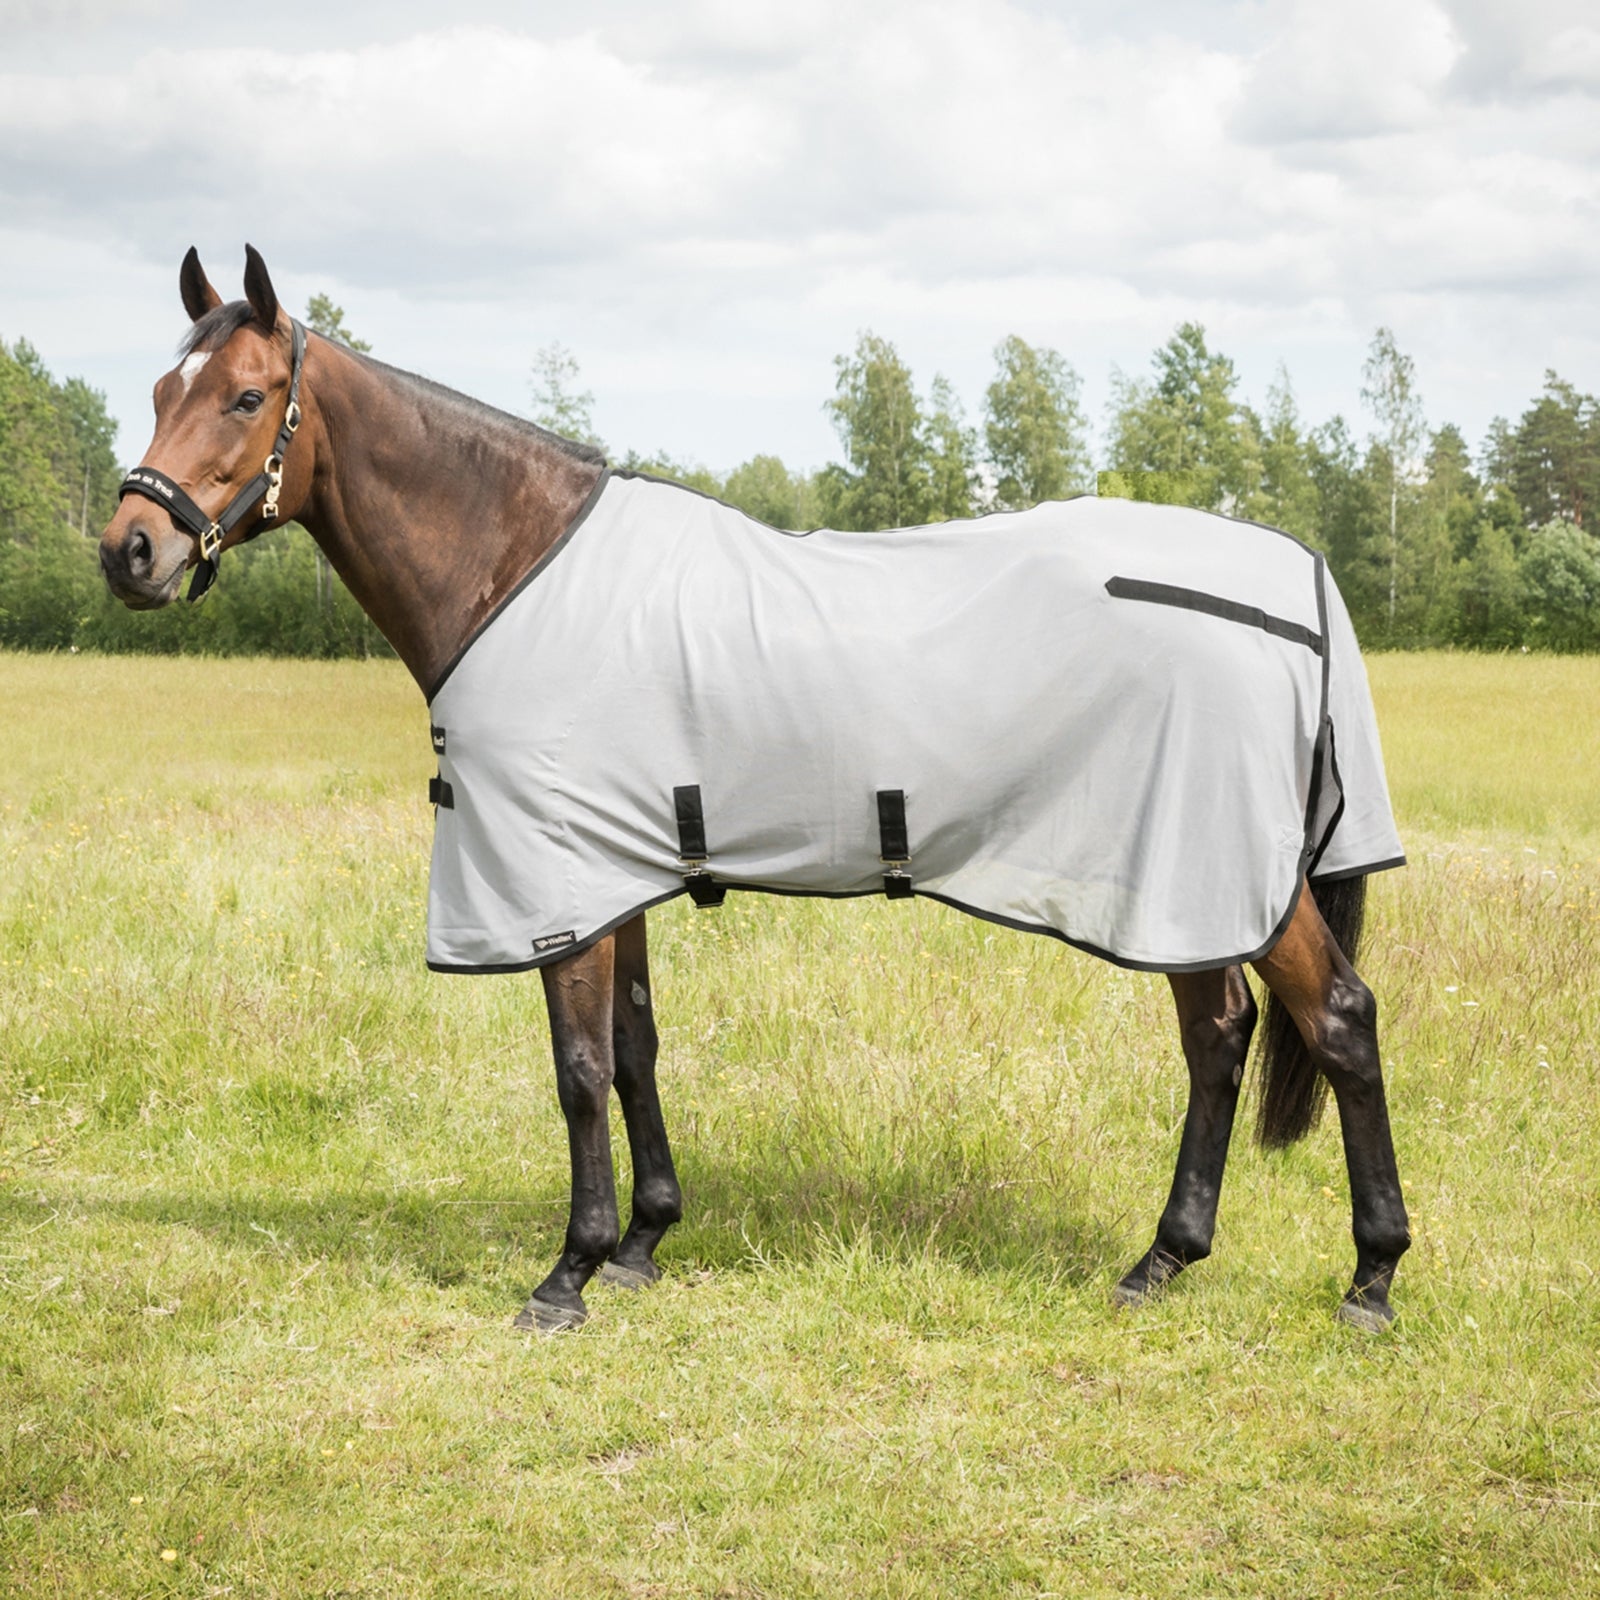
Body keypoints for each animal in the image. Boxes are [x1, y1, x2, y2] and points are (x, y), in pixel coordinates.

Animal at [99, 246, 1411, 1334]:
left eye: (246, 397)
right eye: (160, 391)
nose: (129, 553)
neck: (518, 564)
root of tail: (1293, 574)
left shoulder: (557, 879)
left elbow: (577, 1071)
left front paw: (567, 1274)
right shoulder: (613, 869)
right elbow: (633, 1049)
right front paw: (643, 1240)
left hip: (1210, 865)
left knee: (1335, 1018)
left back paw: (1370, 1276)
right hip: (1180, 881)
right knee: (1223, 1034)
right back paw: (1162, 1261)